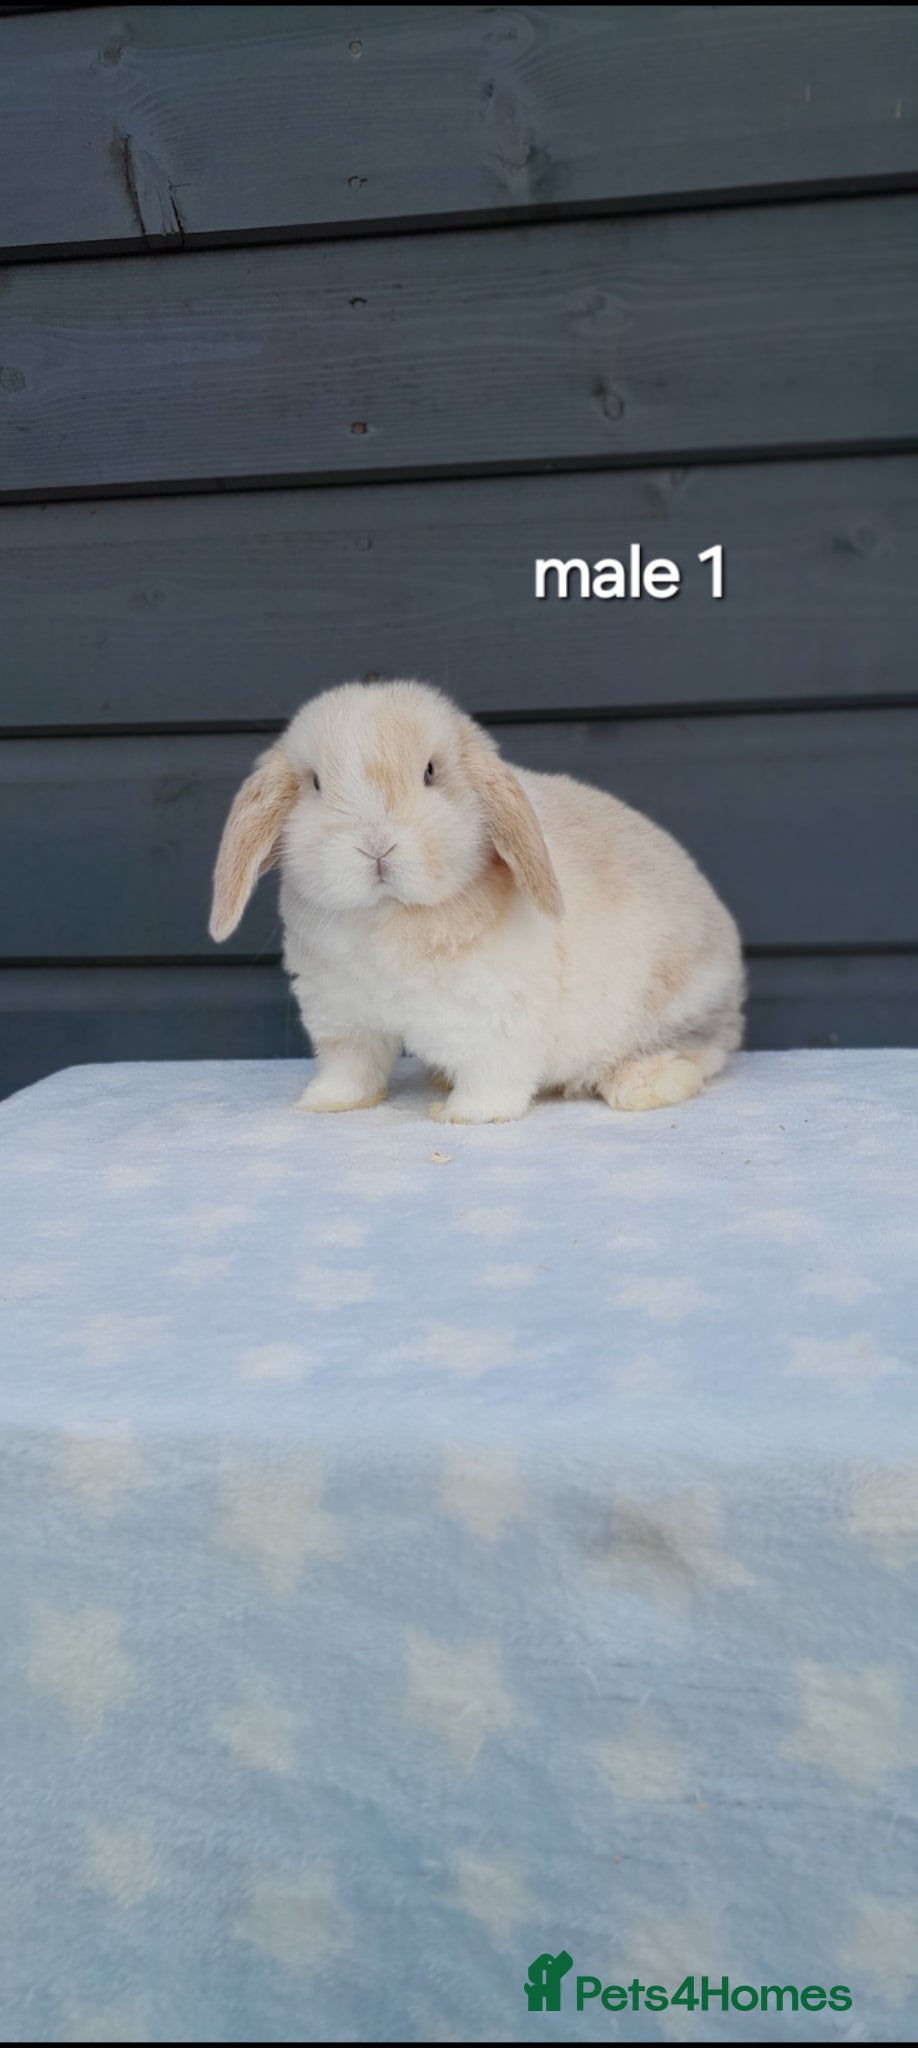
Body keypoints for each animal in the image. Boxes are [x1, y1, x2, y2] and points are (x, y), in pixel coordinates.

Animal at [209, 679, 744, 1123]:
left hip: (674, 1008)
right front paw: (327, 1102)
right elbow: (351, 1068)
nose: (376, 844)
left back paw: (642, 1085)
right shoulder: (344, 1018)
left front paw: (467, 1116)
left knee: (703, 1050)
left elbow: (493, 1075)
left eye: (430, 772)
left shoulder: (496, 1020)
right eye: (317, 783)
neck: (387, 916)